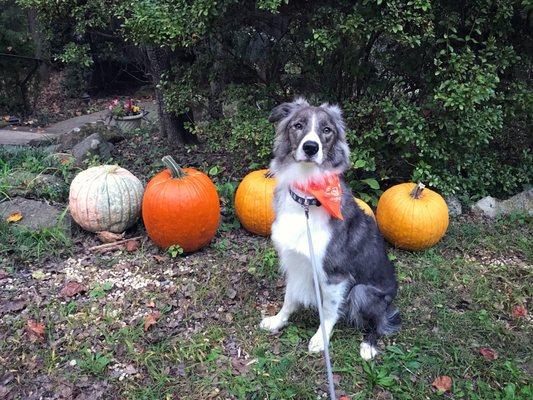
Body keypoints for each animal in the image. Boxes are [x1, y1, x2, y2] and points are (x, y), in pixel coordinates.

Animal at [258, 98, 400, 360]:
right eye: (298, 125)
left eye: (327, 130)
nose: (311, 147)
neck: (307, 200)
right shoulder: (295, 263)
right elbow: (289, 298)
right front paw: (277, 321)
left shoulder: (335, 274)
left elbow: (329, 310)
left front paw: (320, 340)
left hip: (363, 292)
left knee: (379, 321)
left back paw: (369, 345)